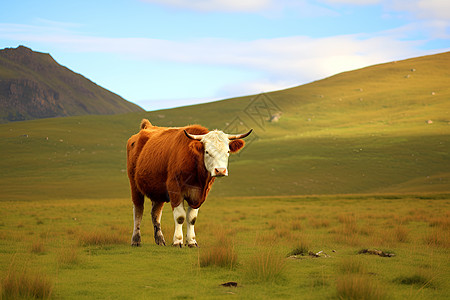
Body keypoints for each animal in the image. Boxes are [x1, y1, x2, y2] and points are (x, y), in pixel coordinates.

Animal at [127, 119, 253, 248]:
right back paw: (136, 239)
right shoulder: (175, 189)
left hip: (157, 191)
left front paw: (192, 241)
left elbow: (192, 218)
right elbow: (180, 217)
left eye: (227, 151)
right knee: (138, 210)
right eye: (207, 151)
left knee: (155, 213)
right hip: (134, 186)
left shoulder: (199, 195)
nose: (220, 170)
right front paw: (178, 241)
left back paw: (160, 240)